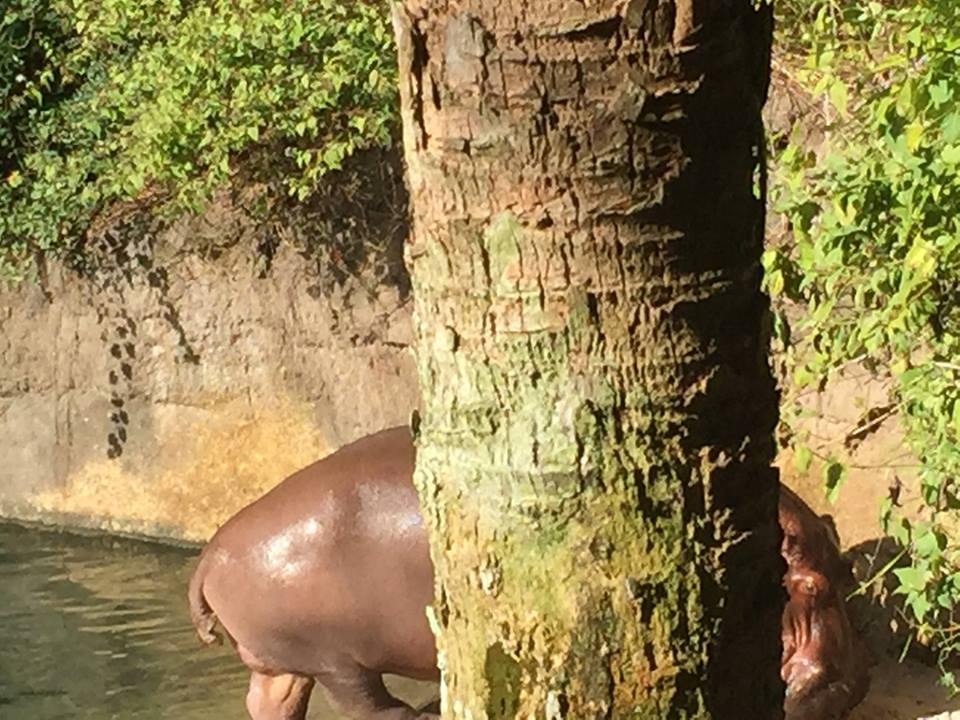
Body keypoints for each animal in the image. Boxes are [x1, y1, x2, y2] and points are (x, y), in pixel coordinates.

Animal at [188, 426, 869, 720]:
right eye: (810, 587)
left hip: (281, 665)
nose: (853, 689)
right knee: (370, 710)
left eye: (847, 572)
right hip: (336, 660)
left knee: (271, 706)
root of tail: (209, 552)